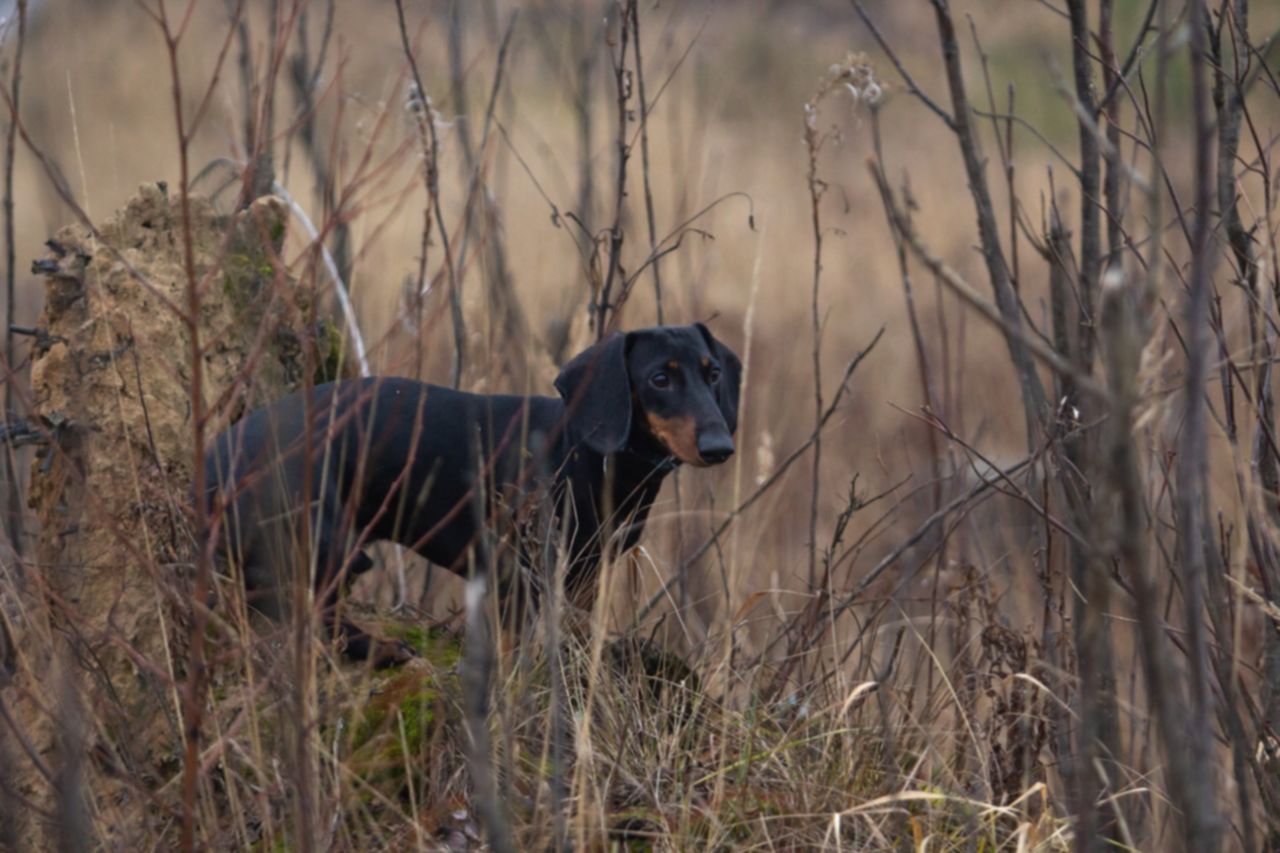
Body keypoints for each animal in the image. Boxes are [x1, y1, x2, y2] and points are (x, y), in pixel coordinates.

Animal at [200, 322, 742, 660]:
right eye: (659, 378)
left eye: (713, 372)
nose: (720, 447)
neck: (585, 451)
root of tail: (213, 458)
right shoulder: (517, 576)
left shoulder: (583, 574)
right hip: (325, 540)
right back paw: (382, 651)